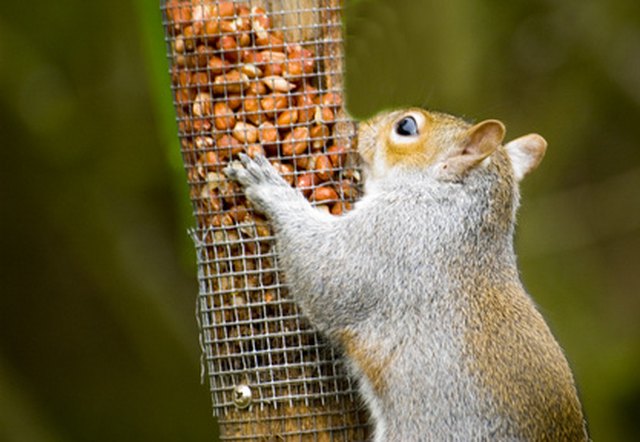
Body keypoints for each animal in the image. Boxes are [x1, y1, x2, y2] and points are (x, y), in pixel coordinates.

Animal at [225, 108, 592, 442]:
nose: (359, 127)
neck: (451, 201)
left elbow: (326, 271)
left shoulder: (393, 238)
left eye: (406, 126)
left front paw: (270, 188)